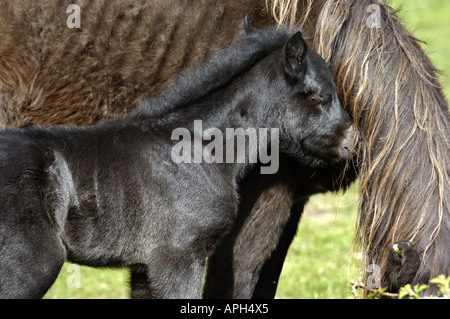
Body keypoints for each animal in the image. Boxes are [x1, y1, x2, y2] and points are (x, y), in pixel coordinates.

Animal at [0, 1, 448, 298]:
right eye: (320, 96)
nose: (353, 144)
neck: (194, 150)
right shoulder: (181, 258)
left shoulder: (146, 268)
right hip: (29, 268)